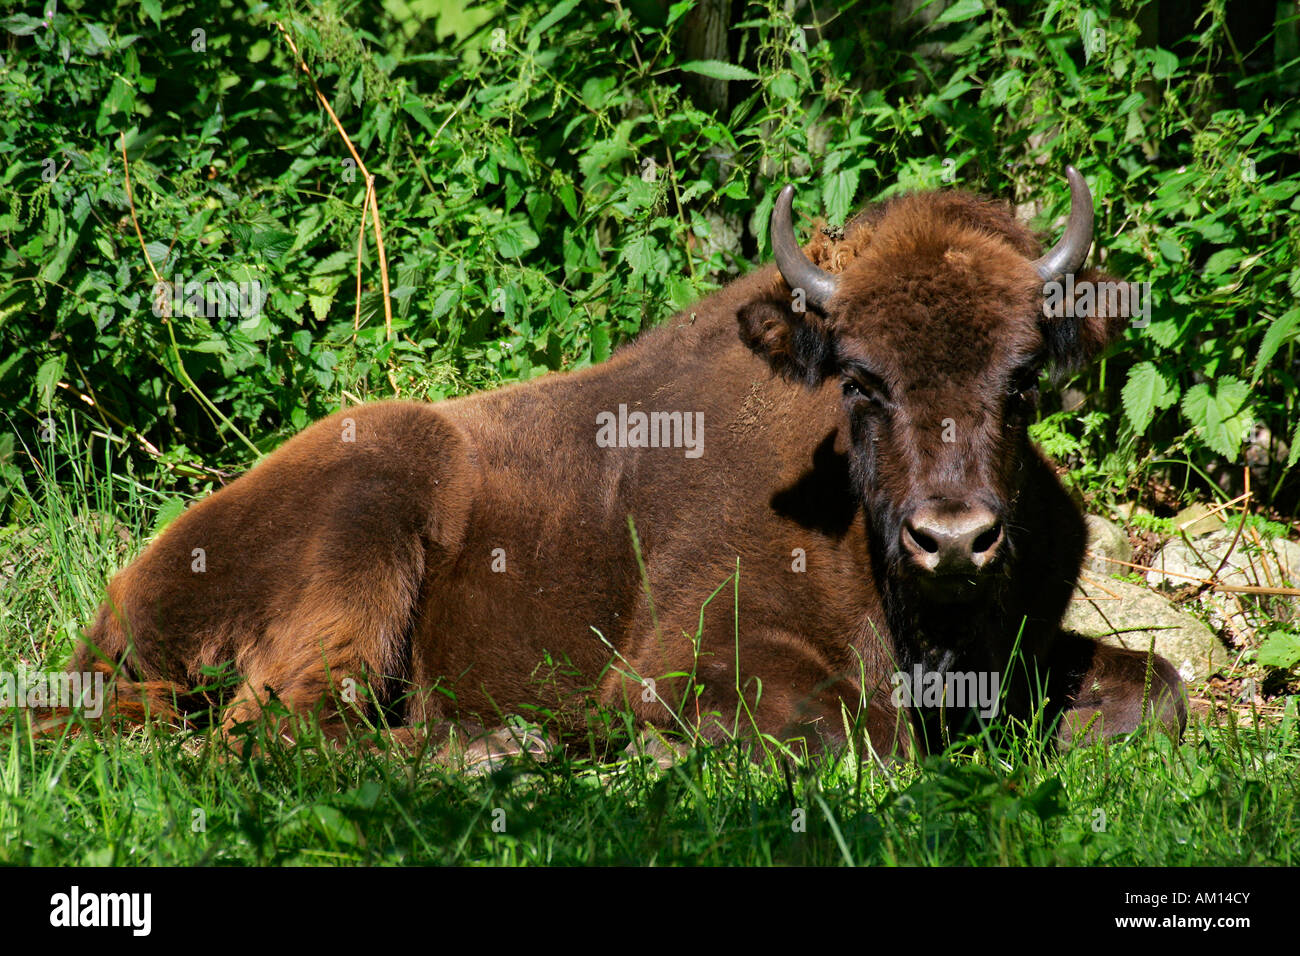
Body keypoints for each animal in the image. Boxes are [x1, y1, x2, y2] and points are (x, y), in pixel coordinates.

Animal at [71, 166, 1190, 764]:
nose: (953, 538)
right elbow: (858, 731)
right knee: (282, 726)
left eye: (1022, 377)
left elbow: (1162, 687)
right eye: (860, 379)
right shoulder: (684, 657)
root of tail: (121, 598)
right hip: (369, 523)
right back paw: (495, 751)